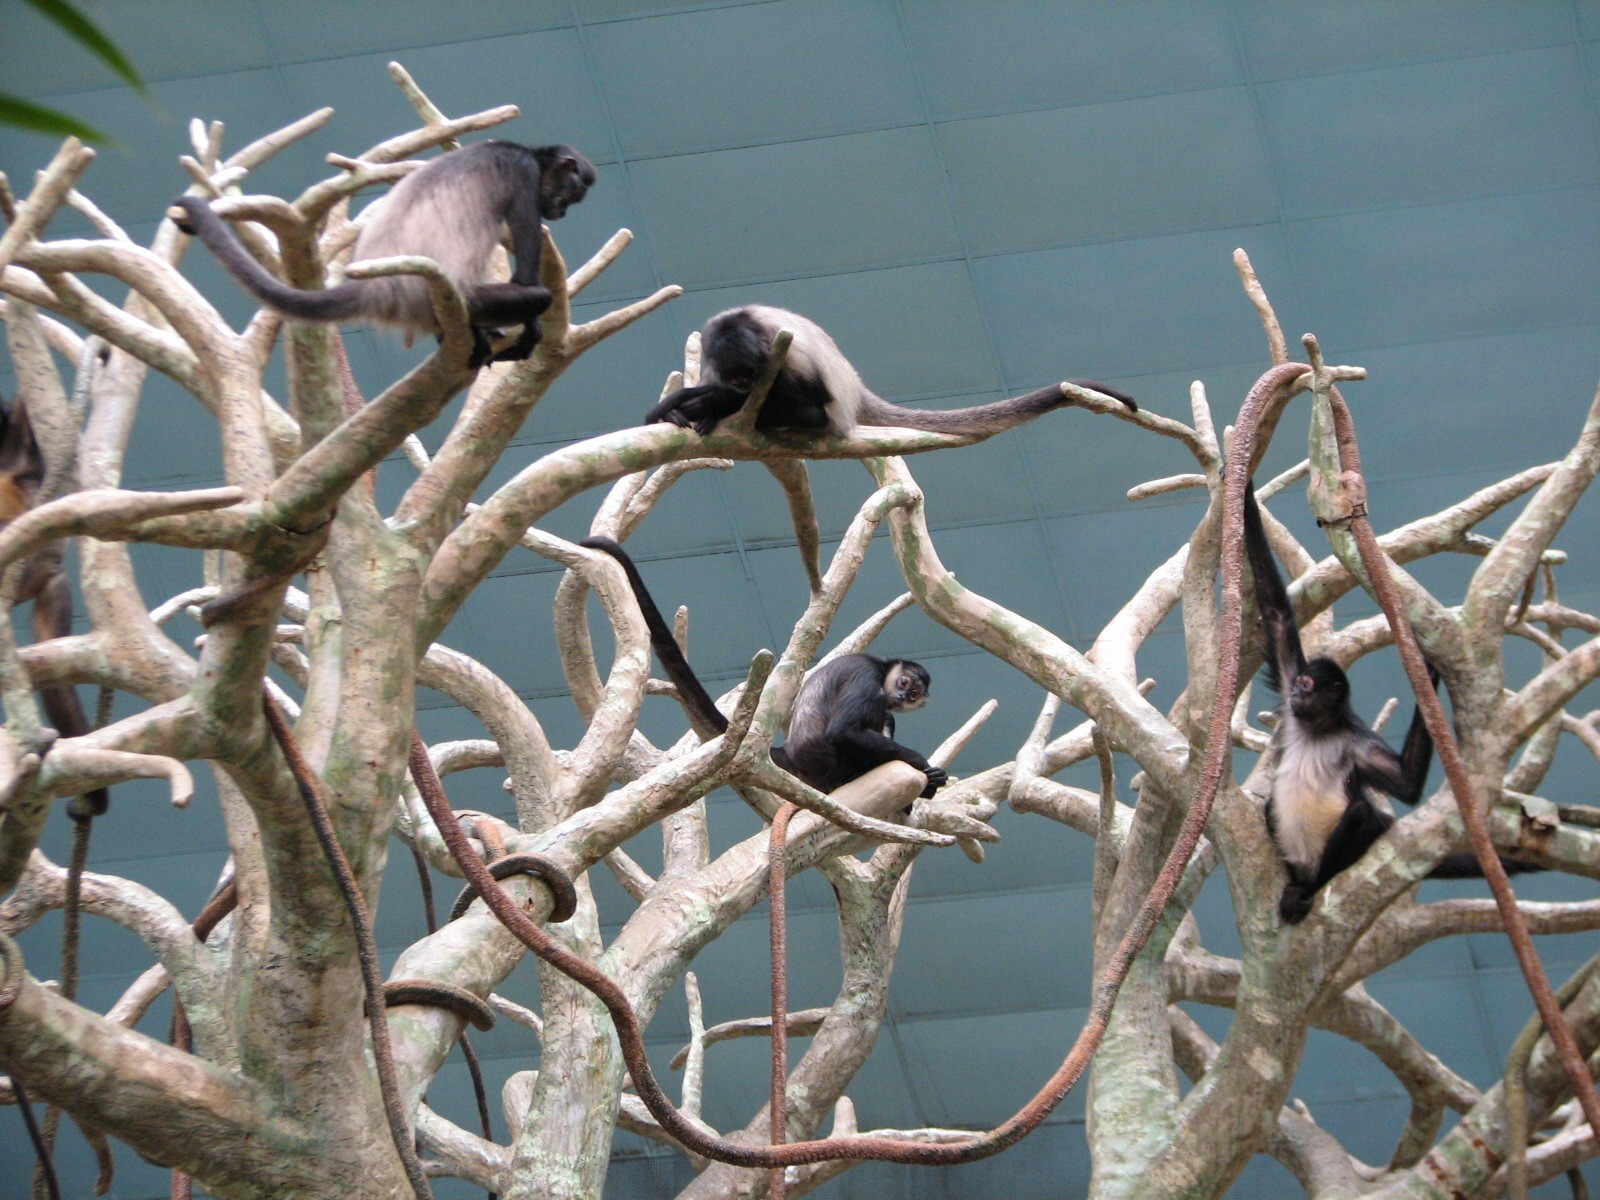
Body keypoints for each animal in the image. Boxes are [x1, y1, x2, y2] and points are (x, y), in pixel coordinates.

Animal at [171, 140, 597, 369]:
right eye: (574, 193)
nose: (563, 211)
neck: (522, 150)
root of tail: (378, 286)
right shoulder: (524, 173)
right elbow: (526, 278)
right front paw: (532, 328)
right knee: (535, 295)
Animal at [582, 536, 947, 799]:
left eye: (912, 693)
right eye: (903, 683)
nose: (900, 696)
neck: (883, 670)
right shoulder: (866, 675)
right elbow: (844, 731)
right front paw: (921, 764)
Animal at [644, 305, 1137, 437]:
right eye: (740, 374)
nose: (747, 384)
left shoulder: (782, 355)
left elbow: (807, 404)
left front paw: (702, 406)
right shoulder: (713, 352)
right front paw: (685, 405)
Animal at [1244, 480, 1535, 924]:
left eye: (1308, 686)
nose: (1295, 693)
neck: (1317, 728)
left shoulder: (1357, 740)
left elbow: (1407, 783)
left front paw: (1428, 671)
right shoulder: (1293, 703)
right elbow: (1276, 613)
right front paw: (1239, 487)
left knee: (1363, 815)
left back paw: (1308, 888)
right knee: (1271, 807)